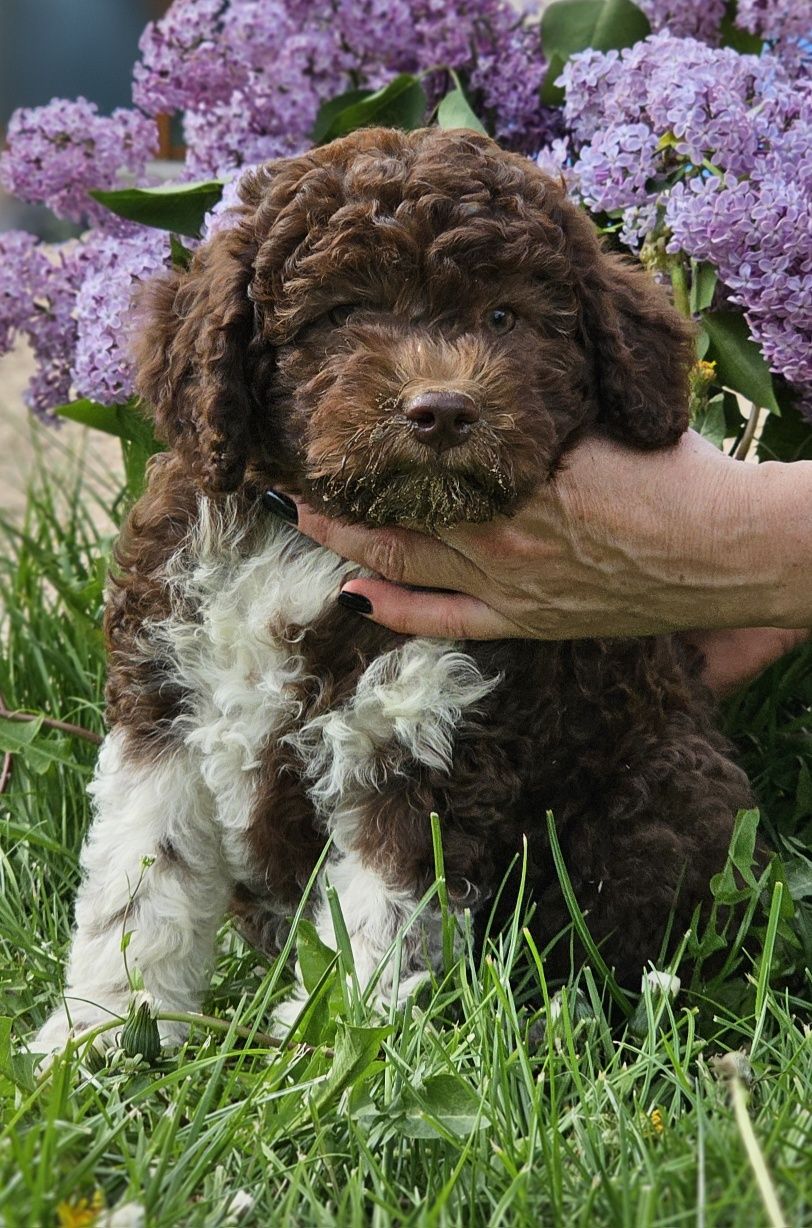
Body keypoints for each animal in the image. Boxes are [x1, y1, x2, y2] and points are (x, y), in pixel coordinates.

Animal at [36, 124, 746, 1046]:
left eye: (504, 317)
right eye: (341, 315)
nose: (440, 410)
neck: (307, 543)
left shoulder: (421, 743)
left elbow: (380, 915)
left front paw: (337, 1046)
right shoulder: (163, 706)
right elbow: (139, 879)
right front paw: (102, 1034)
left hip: (655, 792)